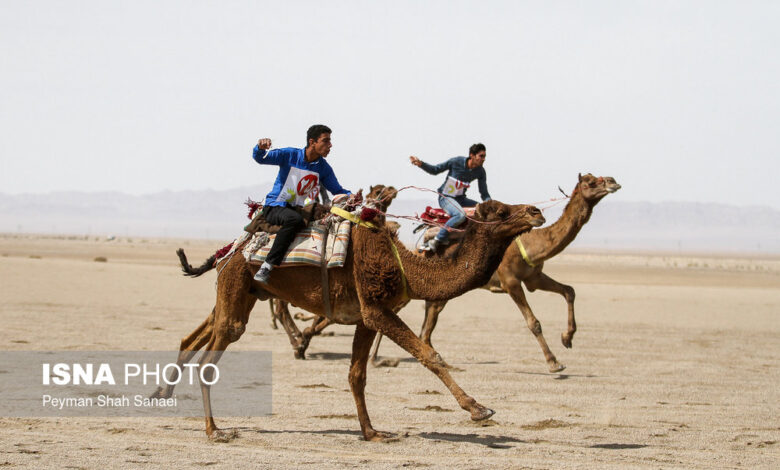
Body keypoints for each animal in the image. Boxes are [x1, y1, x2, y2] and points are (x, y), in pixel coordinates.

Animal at [152, 198, 544, 440]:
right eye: (499, 211)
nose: (535, 211)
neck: (407, 267)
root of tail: (231, 248)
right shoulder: (376, 309)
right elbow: (429, 355)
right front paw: (478, 408)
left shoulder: (366, 318)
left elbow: (357, 376)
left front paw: (372, 433)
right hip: (237, 286)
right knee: (213, 352)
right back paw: (214, 430)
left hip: (242, 292)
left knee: (195, 335)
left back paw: (162, 394)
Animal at [374, 173, 620, 370]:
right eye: (590, 181)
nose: (613, 181)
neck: (532, 244)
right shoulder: (510, 281)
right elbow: (533, 322)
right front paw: (553, 363)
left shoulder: (533, 277)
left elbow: (569, 291)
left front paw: (567, 338)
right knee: (400, 313)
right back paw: (377, 359)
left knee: (425, 325)